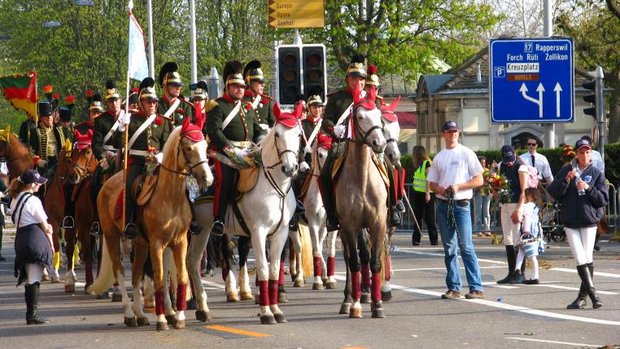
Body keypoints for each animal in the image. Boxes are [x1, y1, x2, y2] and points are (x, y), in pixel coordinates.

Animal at [86, 121, 213, 330]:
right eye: (188, 148)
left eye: (205, 146)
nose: (207, 179)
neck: (171, 198)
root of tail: (108, 182)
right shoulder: (157, 244)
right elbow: (160, 278)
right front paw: (162, 320)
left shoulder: (179, 241)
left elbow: (180, 277)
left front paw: (179, 317)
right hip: (112, 236)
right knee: (119, 271)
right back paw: (129, 314)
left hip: (140, 243)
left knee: (136, 273)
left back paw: (140, 314)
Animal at [190, 104, 304, 324]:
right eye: (277, 134)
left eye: (299, 135)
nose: (290, 168)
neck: (273, 186)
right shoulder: (258, 231)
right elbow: (263, 269)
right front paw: (266, 313)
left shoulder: (281, 232)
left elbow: (274, 270)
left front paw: (276, 310)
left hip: (203, 230)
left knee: (189, 261)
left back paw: (199, 307)